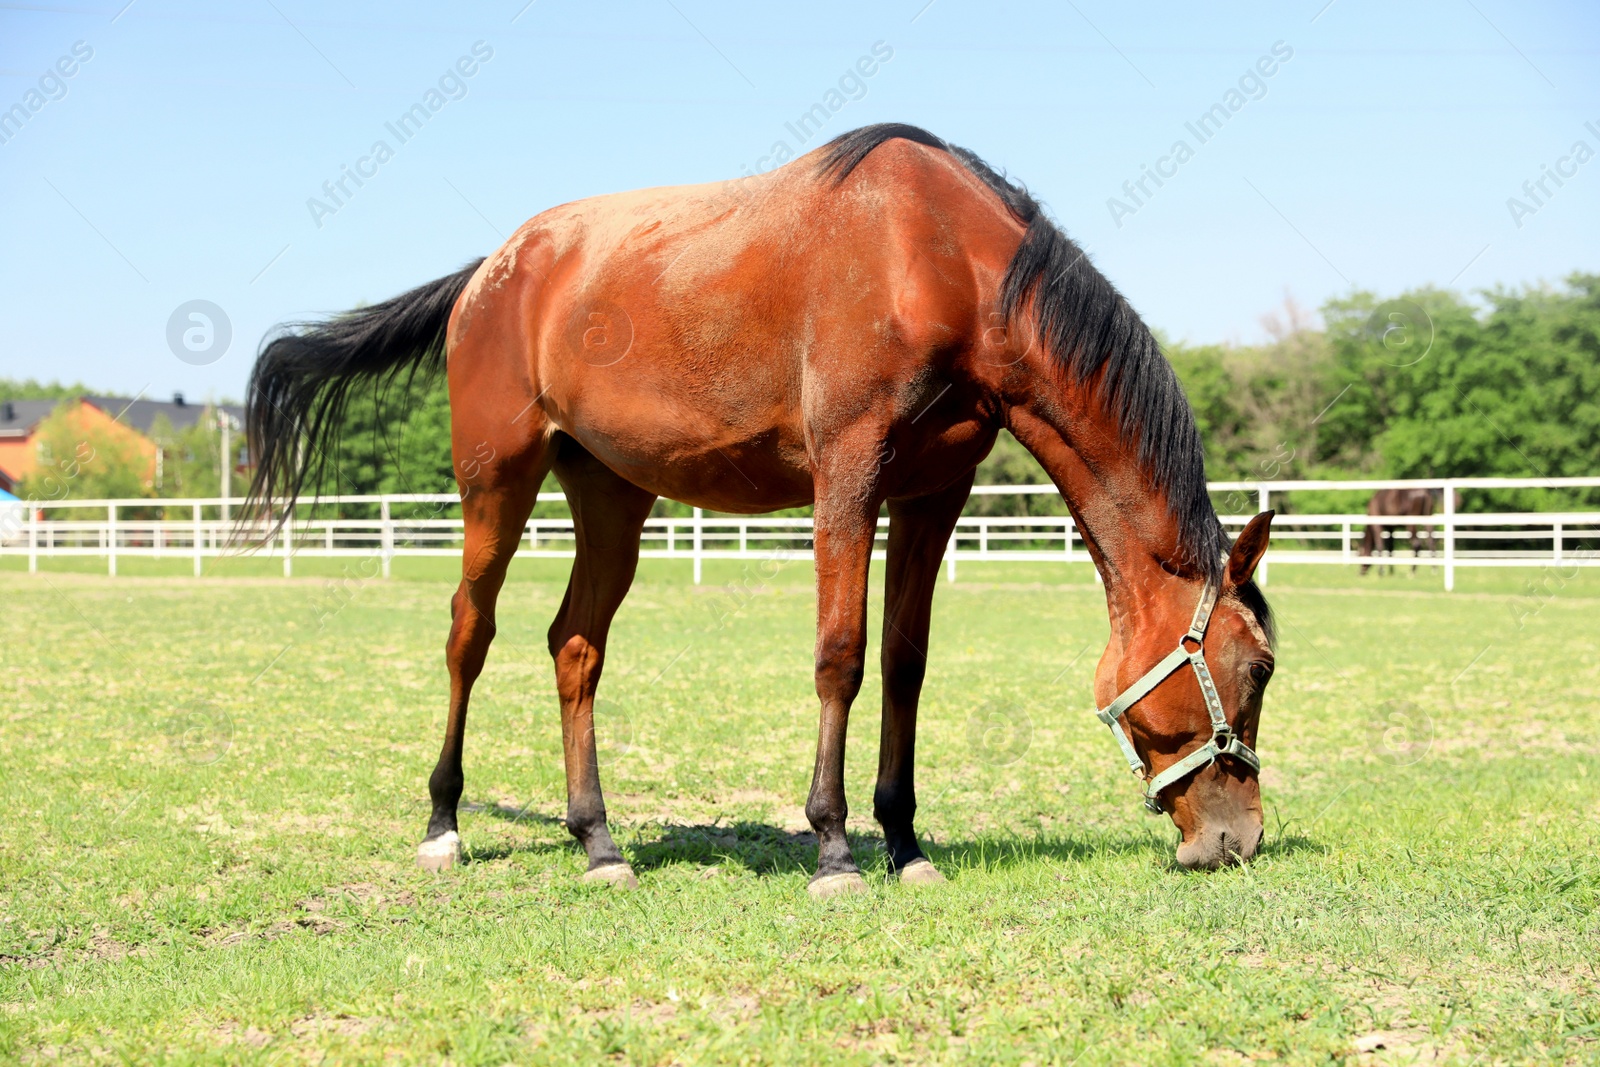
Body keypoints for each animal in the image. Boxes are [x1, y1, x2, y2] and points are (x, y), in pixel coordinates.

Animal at [246, 123, 1273, 895]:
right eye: (1257, 670)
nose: (1238, 839)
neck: (937, 259)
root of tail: (495, 267)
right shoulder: (848, 472)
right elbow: (841, 656)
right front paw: (833, 848)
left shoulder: (933, 490)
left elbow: (904, 664)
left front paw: (904, 842)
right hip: (496, 479)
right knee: (470, 632)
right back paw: (443, 822)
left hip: (611, 493)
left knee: (575, 646)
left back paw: (599, 841)